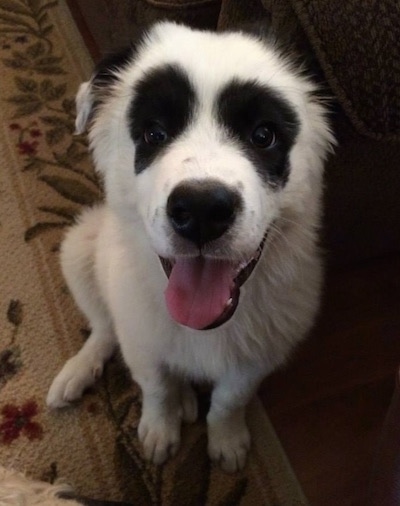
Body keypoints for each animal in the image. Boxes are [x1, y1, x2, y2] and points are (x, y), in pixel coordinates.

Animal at [47, 19, 334, 470]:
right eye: (154, 133)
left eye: (263, 135)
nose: (201, 210)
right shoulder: (141, 340)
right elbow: (156, 385)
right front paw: (159, 429)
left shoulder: (258, 357)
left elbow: (230, 399)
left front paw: (227, 440)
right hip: (80, 247)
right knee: (104, 327)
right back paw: (80, 370)